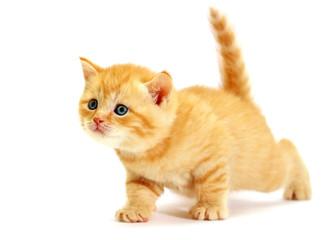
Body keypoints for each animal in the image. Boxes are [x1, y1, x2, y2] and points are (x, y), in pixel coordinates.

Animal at [78, 7, 312, 221]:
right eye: (93, 104)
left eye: (121, 110)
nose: (97, 119)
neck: (153, 150)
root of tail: (237, 97)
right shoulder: (141, 176)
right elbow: (138, 190)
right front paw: (135, 209)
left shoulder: (215, 154)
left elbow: (212, 183)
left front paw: (209, 207)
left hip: (262, 169)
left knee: (288, 149)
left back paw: (300, 186)